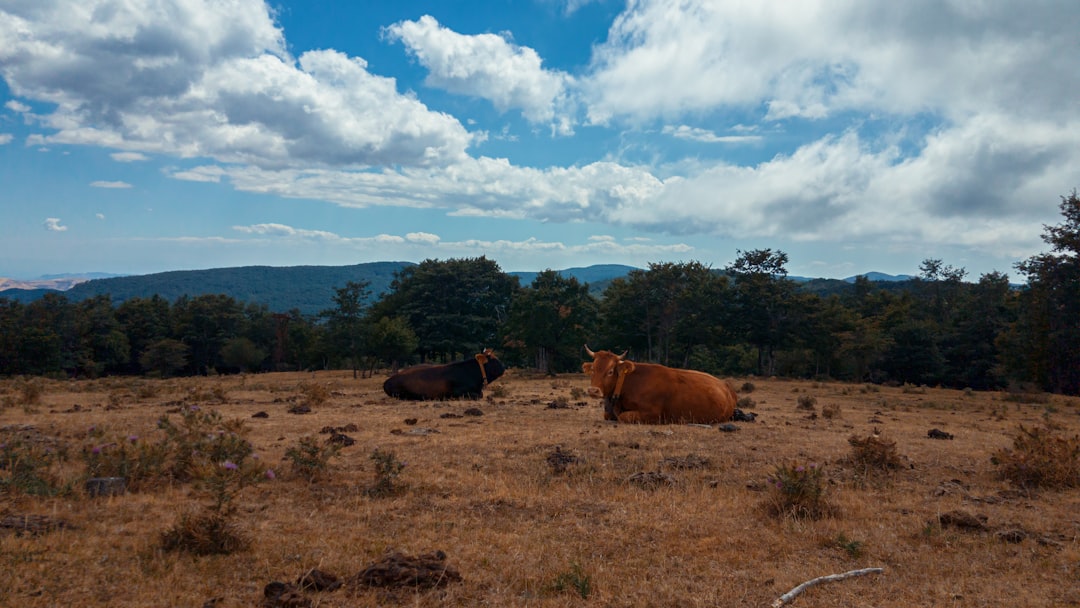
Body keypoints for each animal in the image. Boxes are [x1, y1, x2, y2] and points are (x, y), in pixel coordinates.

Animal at [583, 345, 743, 425]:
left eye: (610, 371)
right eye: (593, 369)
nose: (593, 390)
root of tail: (726, 385)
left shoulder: (652, 414)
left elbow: (623, 417)